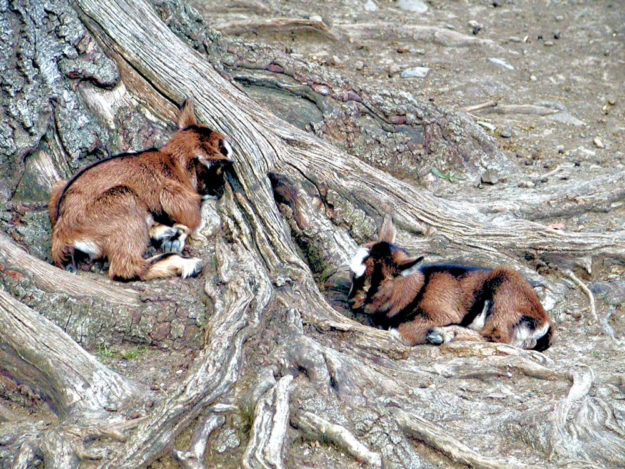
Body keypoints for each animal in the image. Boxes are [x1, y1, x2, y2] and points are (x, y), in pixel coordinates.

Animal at [48, 98, 233, 280]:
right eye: (220, 165)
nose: (221, 189)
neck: (173, 163)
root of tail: (62, 231)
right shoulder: (176, 193)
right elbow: (191, 218)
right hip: (125, 200)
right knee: (125, 267)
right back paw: (188, 263)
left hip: (60, 188)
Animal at [348, 214, 552, 350]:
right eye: (352, 274)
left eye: (377, 283)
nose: (351, 301)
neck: (418, 290)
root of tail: (545, 321)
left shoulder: (440, 312)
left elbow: (399, 332)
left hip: (504, 295)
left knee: (496, 337)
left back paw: (441, 335)